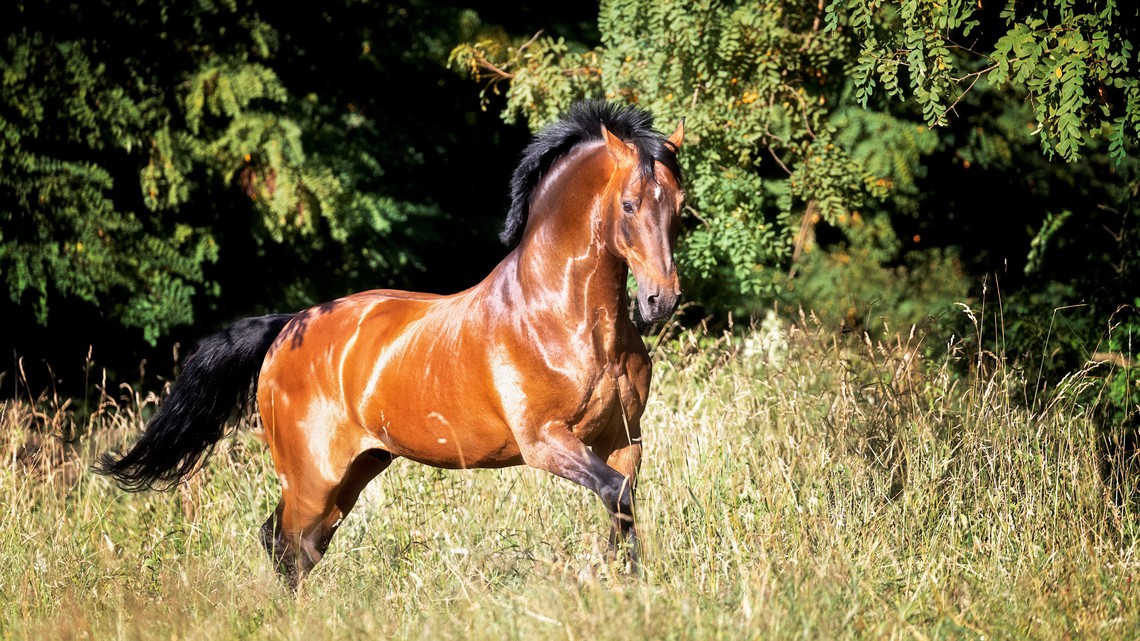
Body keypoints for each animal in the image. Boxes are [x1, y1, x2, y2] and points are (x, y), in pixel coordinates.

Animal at [95, 100, 684, 588]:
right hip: (312, 477)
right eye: (628, 205)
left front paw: (627, 587)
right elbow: (614, 493)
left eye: (678, 204)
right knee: (285, 542)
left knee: (297, 545)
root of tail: (287, 328)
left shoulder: (624, 439)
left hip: (354, 472)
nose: (660, 301)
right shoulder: (544, 441)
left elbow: (621, 503)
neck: (566, 322)